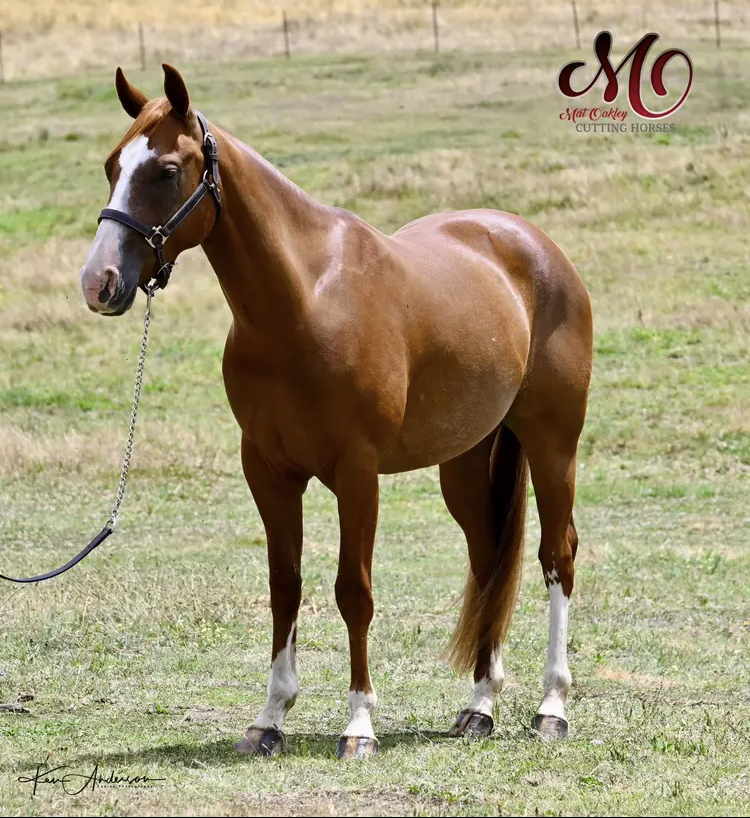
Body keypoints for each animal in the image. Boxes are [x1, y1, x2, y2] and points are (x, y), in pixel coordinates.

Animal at [80, 65, 593, 759]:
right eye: (112, 165)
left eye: (165, 170)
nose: (98, 282)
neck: (305, 300)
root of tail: (536, 246)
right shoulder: (268, 472)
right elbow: (285, 587)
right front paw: (270, 719)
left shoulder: (357, 472)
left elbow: (354, 591)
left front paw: (358, 725)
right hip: (464, 461)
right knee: (489, 562)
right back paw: (479, 707)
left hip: (552, 443)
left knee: (556, 556)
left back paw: (551, 708)